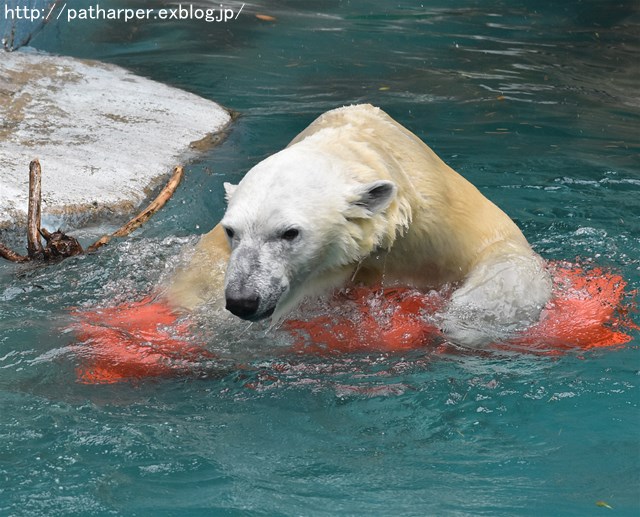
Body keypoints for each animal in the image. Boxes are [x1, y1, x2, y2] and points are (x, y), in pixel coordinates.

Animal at [168, 105, 552, 346]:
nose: (243, 300)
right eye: (232, 231)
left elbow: (505, 255)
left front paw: (467, 322)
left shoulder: (442, 220)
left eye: (289, 232)